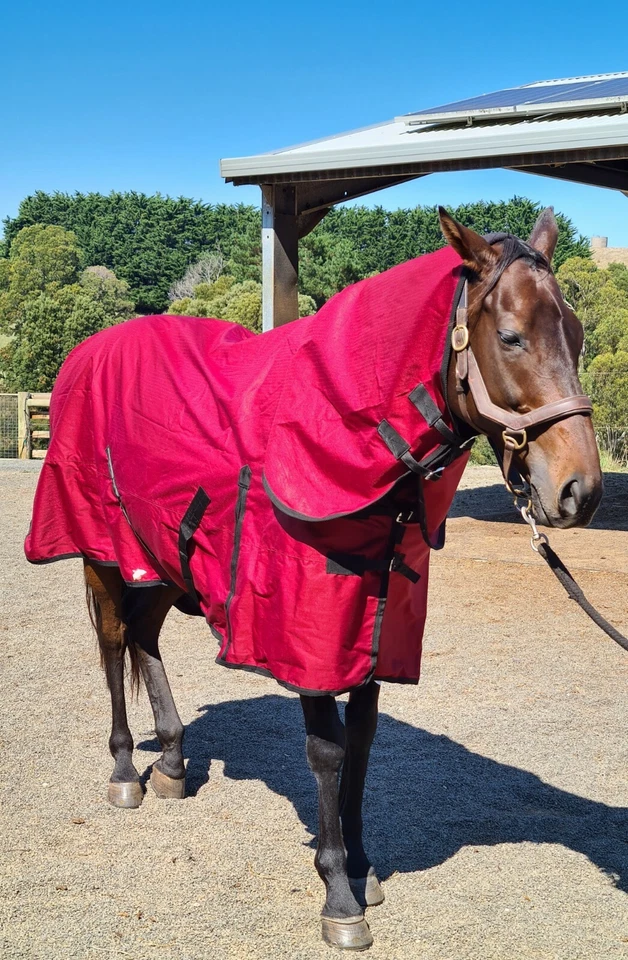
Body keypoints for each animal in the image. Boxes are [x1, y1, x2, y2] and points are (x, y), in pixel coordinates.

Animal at [25, 207, 603, 951]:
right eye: (510, 336)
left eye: (577, 334)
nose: (579, 491)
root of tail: (87, 353)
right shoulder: (310, 640)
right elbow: (327, 754)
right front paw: (338, 895)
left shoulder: (376, 636)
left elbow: (363, 744)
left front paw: (362, 866)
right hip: (101, 554)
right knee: (115, 643)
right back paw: (127, 770)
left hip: (162, 560)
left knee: (145, 640)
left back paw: (175, 763)